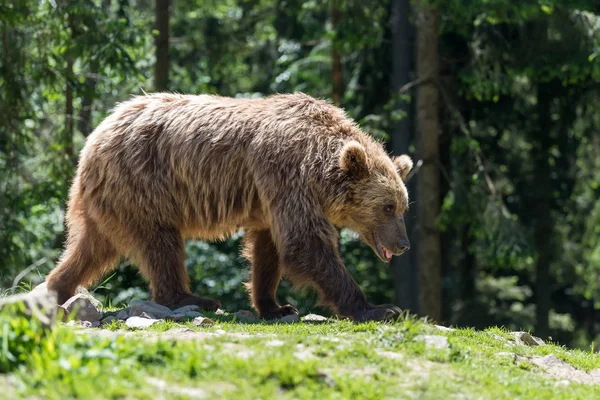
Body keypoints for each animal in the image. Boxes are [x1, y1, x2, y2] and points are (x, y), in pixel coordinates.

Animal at [47, 92, 412, 320]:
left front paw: (276, 306)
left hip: (111, 202)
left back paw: (57, 287)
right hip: (143, 184)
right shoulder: (284, 174)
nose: (404, 244)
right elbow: (305, 244)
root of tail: (94, 138)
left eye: (403, 207)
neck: (318, 163)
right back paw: (191, 298)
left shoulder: (270, 198)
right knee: (161, 245)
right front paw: (379, 308)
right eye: (387, 207)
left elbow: (268, 250)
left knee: (91, 248)